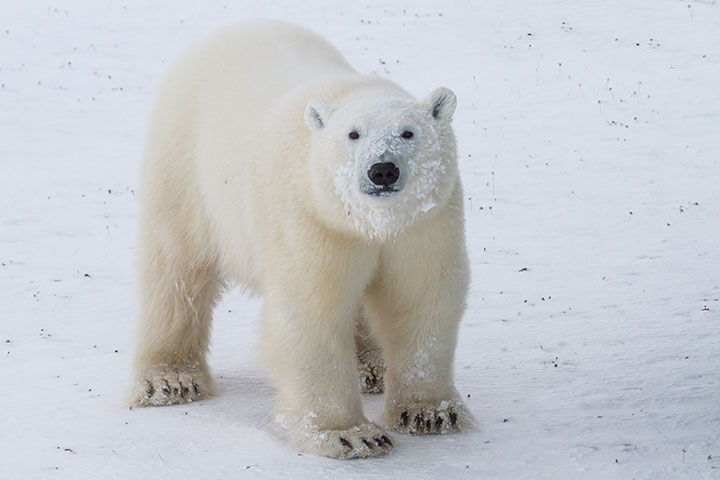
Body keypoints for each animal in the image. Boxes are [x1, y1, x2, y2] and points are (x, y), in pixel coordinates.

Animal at [131, 20, 476, 460]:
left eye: (408, 132)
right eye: (353, 134)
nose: (382, 170)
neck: (370, 222)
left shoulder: (424, 222)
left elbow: (422, 297)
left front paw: (431, 413)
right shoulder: (310, 215)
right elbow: (312, 311)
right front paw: (351, 435)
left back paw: (371, 366)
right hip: (184, 166)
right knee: (177, 271)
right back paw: (170, 380)